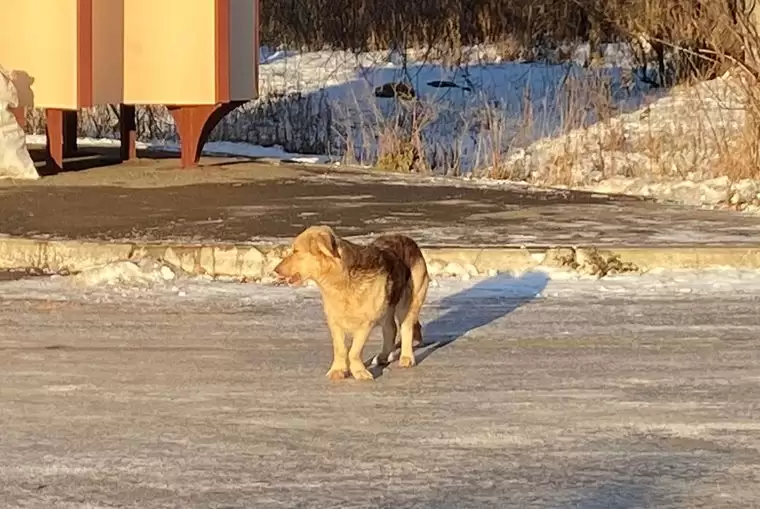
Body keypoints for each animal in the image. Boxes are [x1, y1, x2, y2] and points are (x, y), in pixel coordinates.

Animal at [274, 224, 430, 380]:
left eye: (296, 251)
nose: (275, 270)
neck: (340, 279)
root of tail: (407, 239)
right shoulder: (334, 322)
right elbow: (340, 349)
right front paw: (338, 370)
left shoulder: (366, 323)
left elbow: (354, 351)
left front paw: (359, 371)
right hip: (387, 306)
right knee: (391, 329)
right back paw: (383, 356)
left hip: (408, 302)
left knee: (406, 328)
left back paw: (406, 358)